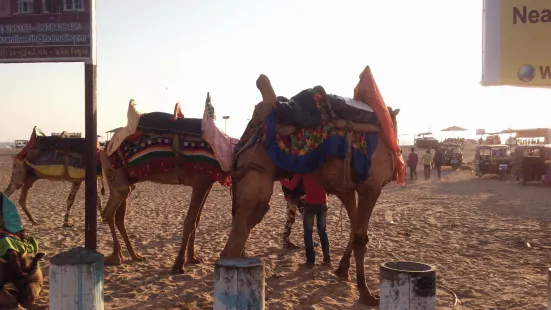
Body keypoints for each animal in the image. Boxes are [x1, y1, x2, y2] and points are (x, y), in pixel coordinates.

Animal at [99, 93, 233, 272]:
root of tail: (105, 147)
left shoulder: (208, 183)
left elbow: (197, 220)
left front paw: (194, 258)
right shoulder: (200, 182)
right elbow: (190, 222)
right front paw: (178, 265)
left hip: (128, 182)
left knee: (119, 217)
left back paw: (134, 255)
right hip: (116, 178)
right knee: (109, 213)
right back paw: (116, 257)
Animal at [220, 72, 406, 308]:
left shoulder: (348, 189)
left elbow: (353, 230)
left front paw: (342, 270)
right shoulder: (370, 187)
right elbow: (360, 237)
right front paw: (366, 293)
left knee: (244, 226)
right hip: (256, 176)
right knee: (238, 236)